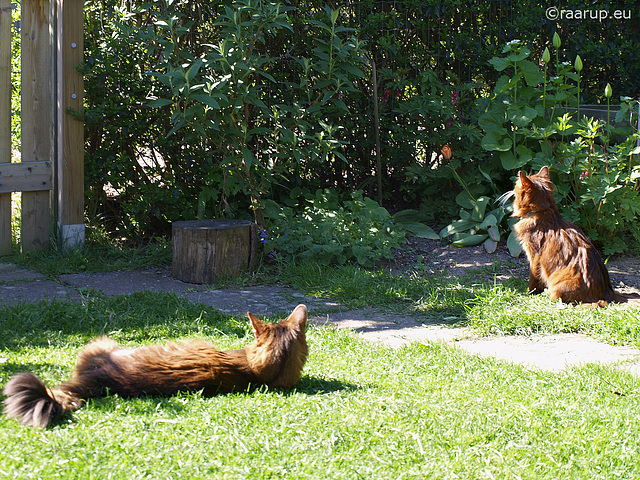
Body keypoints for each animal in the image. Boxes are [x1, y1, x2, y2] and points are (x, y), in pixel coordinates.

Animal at [510, 167, 616, 306]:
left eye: (516, 186)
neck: (544, 211)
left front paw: (529, 293)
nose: (511, 190)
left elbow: (534, 278)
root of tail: (607, 293)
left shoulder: (534, 255)